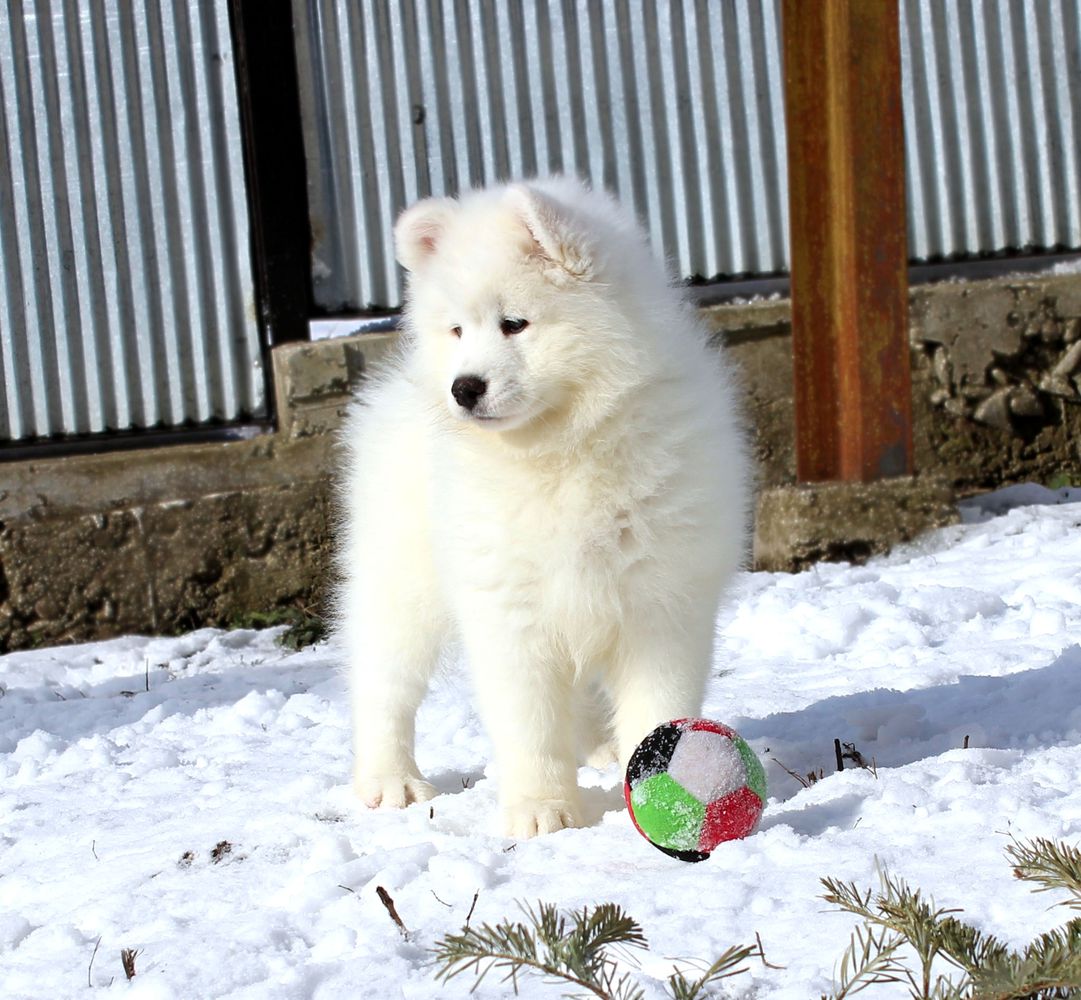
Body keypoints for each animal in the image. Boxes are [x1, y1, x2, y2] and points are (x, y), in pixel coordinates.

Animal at [332, 177, 748, 834]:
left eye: (514, 324)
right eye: (457, 331)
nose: (463, 388)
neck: (558, 450)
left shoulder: (662, 601)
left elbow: (657, 708)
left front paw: (657, 801)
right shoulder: (508, 606)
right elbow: (528, 724)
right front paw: (540, 812)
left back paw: (598, 746)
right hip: (399, 583)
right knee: (384, 684)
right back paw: (390, 781)